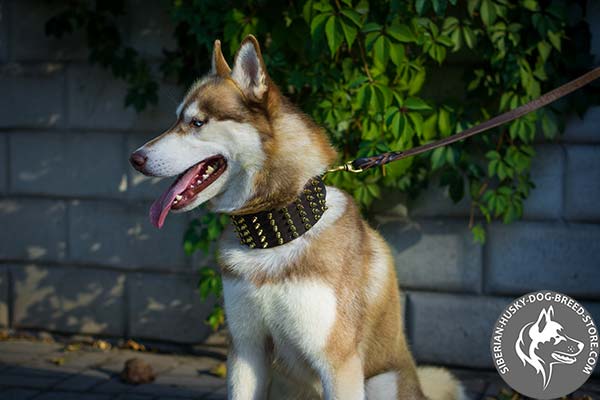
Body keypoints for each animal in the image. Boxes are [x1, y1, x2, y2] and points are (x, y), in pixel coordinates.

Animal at [130, 35, 464, 400]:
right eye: (176, 120)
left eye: (197, 123)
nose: (135, 158)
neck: (275, 231)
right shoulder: (246, 350)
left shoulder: (338, 363)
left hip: (381, 382)